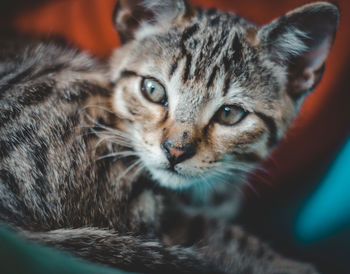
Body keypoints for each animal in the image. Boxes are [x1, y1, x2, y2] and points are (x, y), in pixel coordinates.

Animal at [0, 0, 340, 274]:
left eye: (230, 113)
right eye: (153, 89)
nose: (175, 150)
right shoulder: (152, 218)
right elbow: (224, 239)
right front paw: (293, 266)